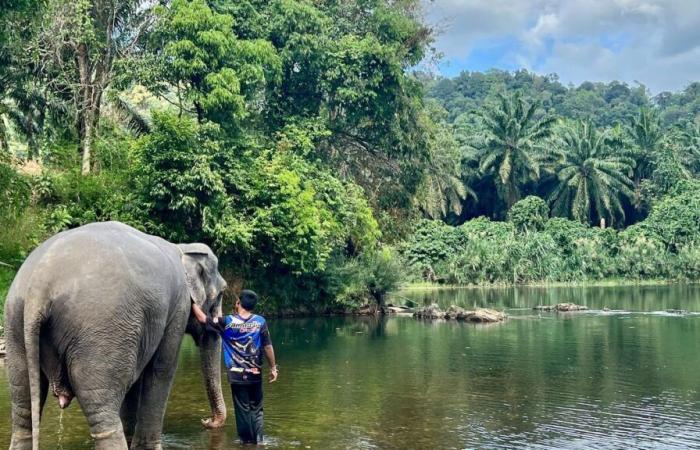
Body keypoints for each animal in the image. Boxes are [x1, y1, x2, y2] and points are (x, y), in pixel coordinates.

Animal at [6, 222, 230, 450]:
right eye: (222, 294)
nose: (206, 421)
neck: (182, 248)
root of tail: (39, 286)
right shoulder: (178, 308)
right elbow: (161, 369)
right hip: (99, 330)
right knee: (102, 409)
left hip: (15, 323)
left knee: (22, 403)